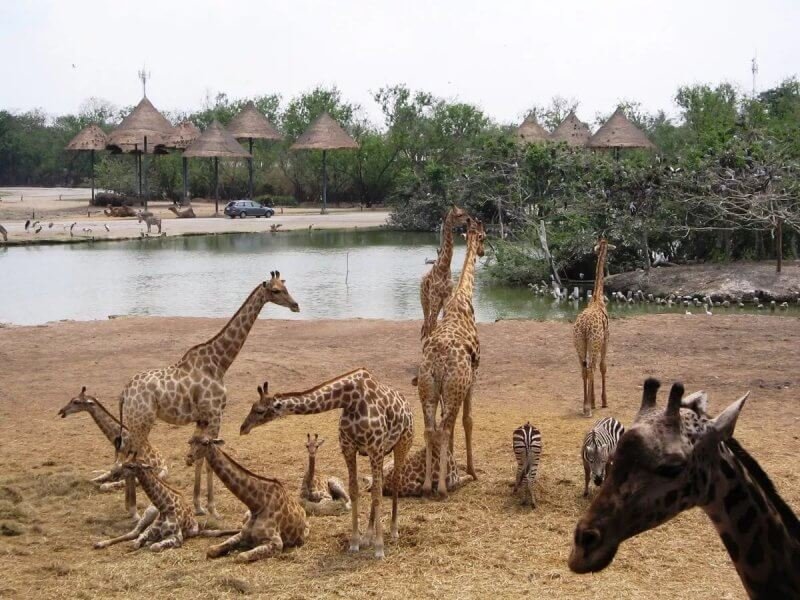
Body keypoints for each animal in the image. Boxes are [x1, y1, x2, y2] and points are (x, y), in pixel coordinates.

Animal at [58, 386, 167, 520]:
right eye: (72, 399)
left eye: (76, 401)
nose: (61, 411)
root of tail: (164, 462)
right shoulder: (118, 465)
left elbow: (111, 484)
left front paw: (133, 513)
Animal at [93, 461, 236, 551]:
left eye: (130, 466)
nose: (114, 474)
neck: (165, 507)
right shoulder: (148, 532)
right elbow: (136, 543)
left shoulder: (177, 538)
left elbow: (154, 546)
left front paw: (151, 543)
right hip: (148, 513)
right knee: (133, 532)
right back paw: (99, 543)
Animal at [115, 272, 299, 516]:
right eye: (276, 291)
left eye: (285, 286)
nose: (296, 305)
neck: (219, 363)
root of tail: (124, 393)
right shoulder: (214, 414)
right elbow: (210, 458)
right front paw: (212, 508)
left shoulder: (202, 419)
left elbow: (200, 458)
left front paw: (199, 506)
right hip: (141, 422)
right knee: (130, 458)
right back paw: (133, 511)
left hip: (133, 422)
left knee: (127, 455)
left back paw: (130, 508)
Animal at [239, 368, 414, 559]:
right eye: (252, 407)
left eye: (259, 410)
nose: (243, 428)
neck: (349, 400)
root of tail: (407, 406)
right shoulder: (349, 448)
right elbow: (354, 490)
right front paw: (355, 543)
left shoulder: (374, 448)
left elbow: (376, 495)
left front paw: (379, 548)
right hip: (382, 452)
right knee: (379, 484)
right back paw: (368, 536)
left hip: (402, 444)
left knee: (394, 481)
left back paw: (394, 531)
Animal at [420, 205, 470, 340]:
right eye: (459, 215)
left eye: (465, 212)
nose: (469, 220)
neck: (444, 267)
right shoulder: (435, 297)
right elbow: (433, 324)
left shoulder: (447, 297)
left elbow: (443, 322)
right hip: (425, 300)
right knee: (427, 322)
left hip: (437, 303)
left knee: (429, 322)